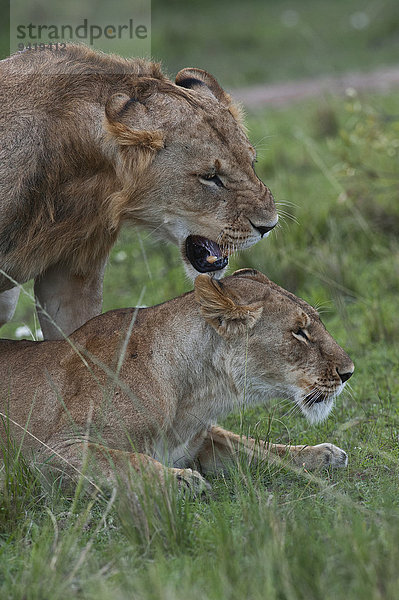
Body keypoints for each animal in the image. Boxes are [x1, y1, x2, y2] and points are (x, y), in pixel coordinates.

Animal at [1, 270, 354, 494]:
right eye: (299, 332)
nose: (348, 372)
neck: (196, 396)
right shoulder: (51, 452)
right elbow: (125, 459)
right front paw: (180, 480)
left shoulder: (200, 440)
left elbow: (258, 447)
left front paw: (322, 453)